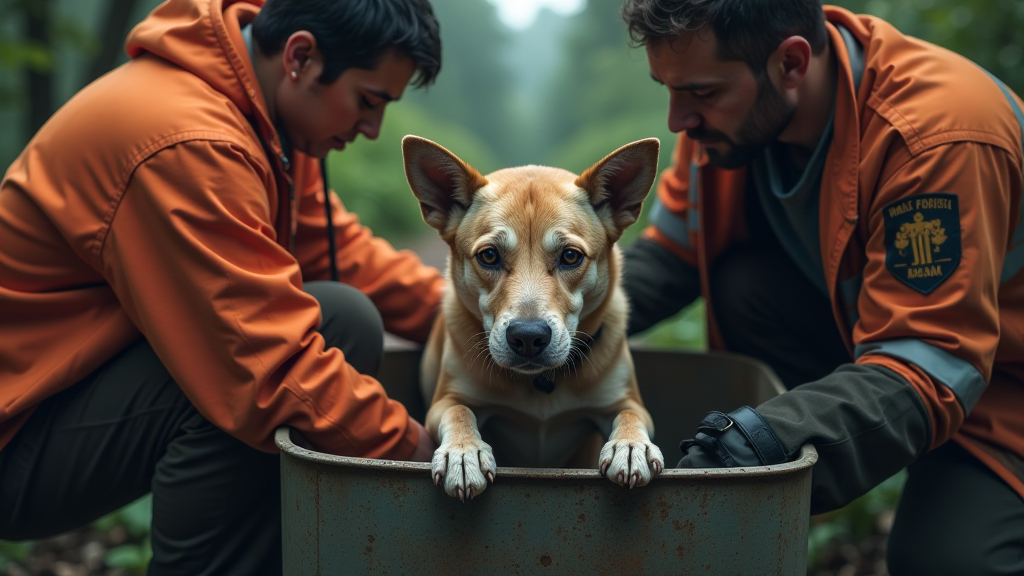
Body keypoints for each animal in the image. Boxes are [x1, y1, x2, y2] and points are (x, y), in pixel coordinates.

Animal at [403, 135, 667, 498]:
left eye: (570, 256)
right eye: (489, 256)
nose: (528, 338)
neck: (539, 383)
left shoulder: (629, 401)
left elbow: (630, 415)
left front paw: (630, 447)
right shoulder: (444, 401)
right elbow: (459, 411)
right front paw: (463, 452)